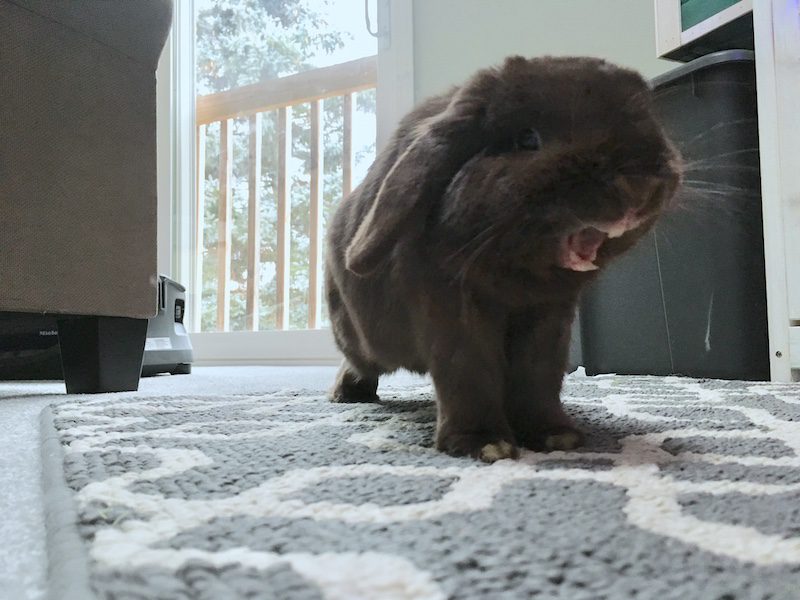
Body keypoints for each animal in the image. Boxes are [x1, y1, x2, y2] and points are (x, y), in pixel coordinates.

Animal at [324, 55, 680, 460]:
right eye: (527, 138)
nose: (638, 185)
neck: (516, 277)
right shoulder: (453, 310)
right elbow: (469, 374)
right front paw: (484, 444)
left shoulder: (548, 316)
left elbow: (538, 378)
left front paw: (556, 436)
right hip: (363, 339)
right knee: (358, 363)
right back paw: (347, 395)